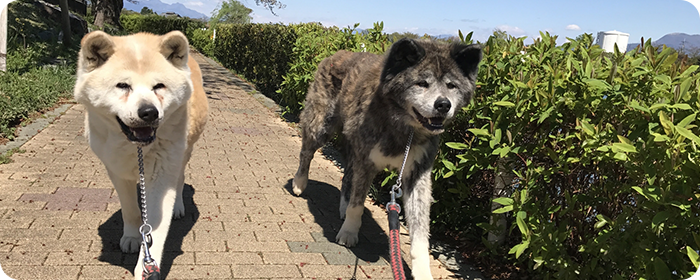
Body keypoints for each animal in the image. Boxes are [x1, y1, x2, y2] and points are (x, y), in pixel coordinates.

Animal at [75, 30, 211, 278]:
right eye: (122, 85)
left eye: (159, 86)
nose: (149, 112)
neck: (135, 147)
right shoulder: (116, 170)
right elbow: (130, 209)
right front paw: (131, 236)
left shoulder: (162, 173)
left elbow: (155, 227)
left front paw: (145, 268)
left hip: (184, 152)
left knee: (180, 178)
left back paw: (178, 207)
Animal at [290, 38, 482, 278]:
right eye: (422, 83)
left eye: (451, 85)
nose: (443, 104)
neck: (404, 126)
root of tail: (337, 54)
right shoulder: (367, 161)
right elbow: (358, 204)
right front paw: (349, 233)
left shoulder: (417, 175)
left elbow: (420, 231)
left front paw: (422, 271)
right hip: (321, 125)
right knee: (306, 153)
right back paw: (299, 183)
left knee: (348, 176)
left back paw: (342, 206)